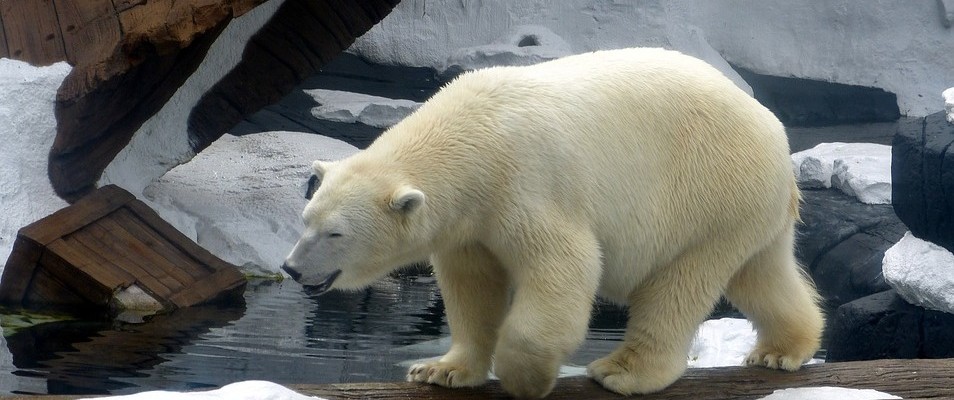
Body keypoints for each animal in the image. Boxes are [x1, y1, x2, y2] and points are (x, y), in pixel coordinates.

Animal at [280, 48, 820, 398]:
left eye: (335, 233)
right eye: (305, 218)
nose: (291, 268)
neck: (472, 136)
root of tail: (776, 137)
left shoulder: (523, 184)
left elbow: (565, 266)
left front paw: (525, 376)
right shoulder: (471, 222)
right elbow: (472, 285)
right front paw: (441, 370)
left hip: (706, 192)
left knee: (679, 284)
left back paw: (622, 371)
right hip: (744, 209)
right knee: (760, 272)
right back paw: (779, 351)